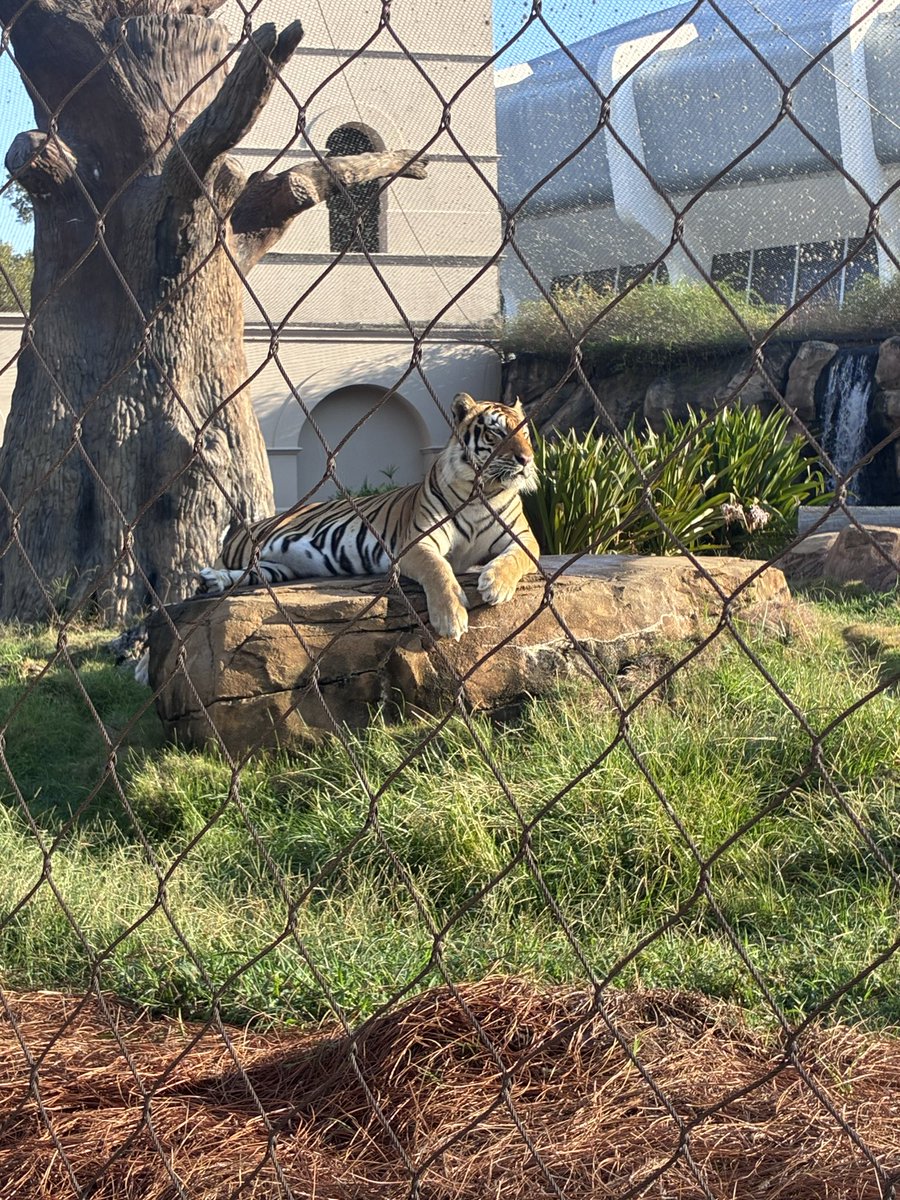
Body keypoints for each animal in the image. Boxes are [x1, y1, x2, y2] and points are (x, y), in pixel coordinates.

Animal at [196, 392, 540, 641]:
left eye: (526, 435)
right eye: (495, 433)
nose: (526, 459)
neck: (480, 494)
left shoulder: (523, 538)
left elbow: (516, 559)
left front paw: (496, 584)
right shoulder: (417, 542)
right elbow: (439, 570)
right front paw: (450, 618)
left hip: (276, 568)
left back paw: (212, 582)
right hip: (250, 549)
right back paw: (209, 580)